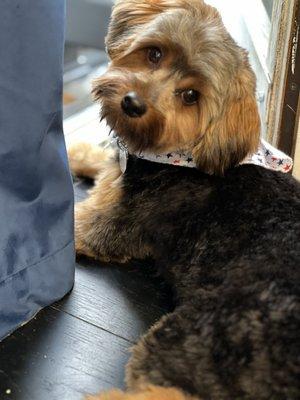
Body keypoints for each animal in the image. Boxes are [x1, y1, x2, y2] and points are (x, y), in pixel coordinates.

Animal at [68, 0, 300, 400]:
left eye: (191, 96)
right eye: (154, 53)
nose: (132, 104)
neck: (183, 153)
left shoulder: (112, 225)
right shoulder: (120, 176)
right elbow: (103, 163)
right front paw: (71, 153)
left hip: (196, 335)